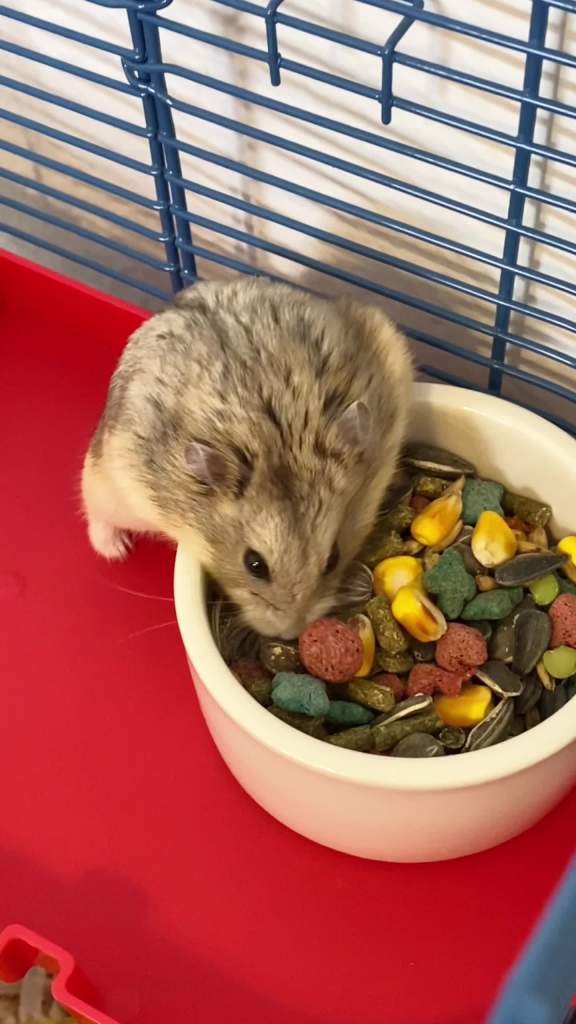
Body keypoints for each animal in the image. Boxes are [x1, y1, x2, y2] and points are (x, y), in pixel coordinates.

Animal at [82, 277, 412, 638]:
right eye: (254, 564)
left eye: (333, 559)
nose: (290, 633)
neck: (274, 442)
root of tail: (178, 298)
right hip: (109, 484)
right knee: (96, 512)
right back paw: (116, 550)